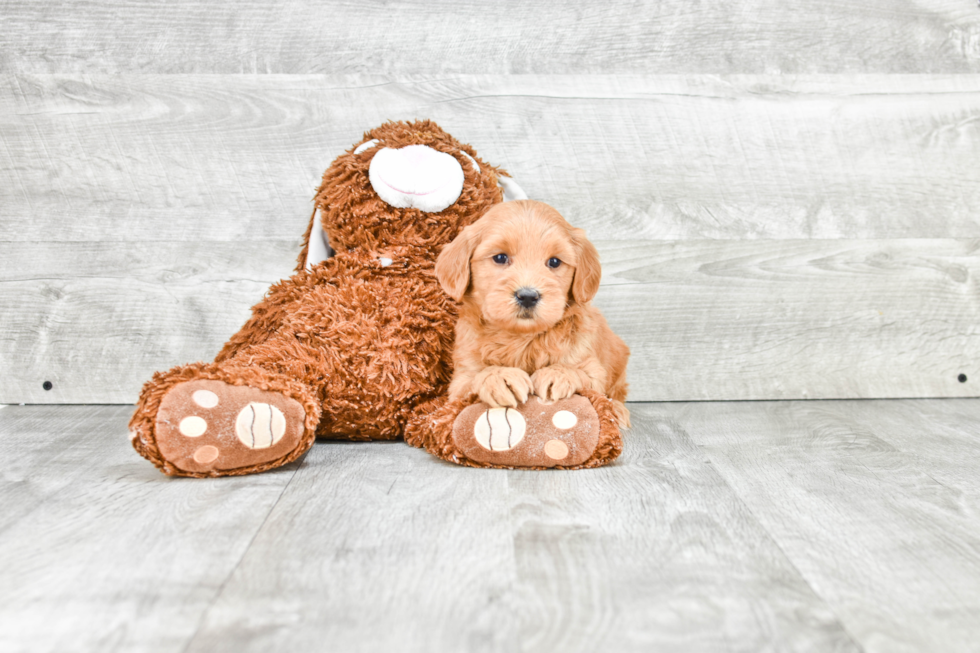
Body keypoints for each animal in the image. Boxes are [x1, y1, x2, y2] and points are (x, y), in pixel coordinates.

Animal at [434, 201, 632, 430]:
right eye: (500, 257)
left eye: (554, 262)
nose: (528, 296)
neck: (521, 338)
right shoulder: (460, 380)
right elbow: (473, 379)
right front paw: (499, 377)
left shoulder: (592, 366)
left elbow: (584, 375)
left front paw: (558, 373)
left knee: (616, 393)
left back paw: (617, 411)